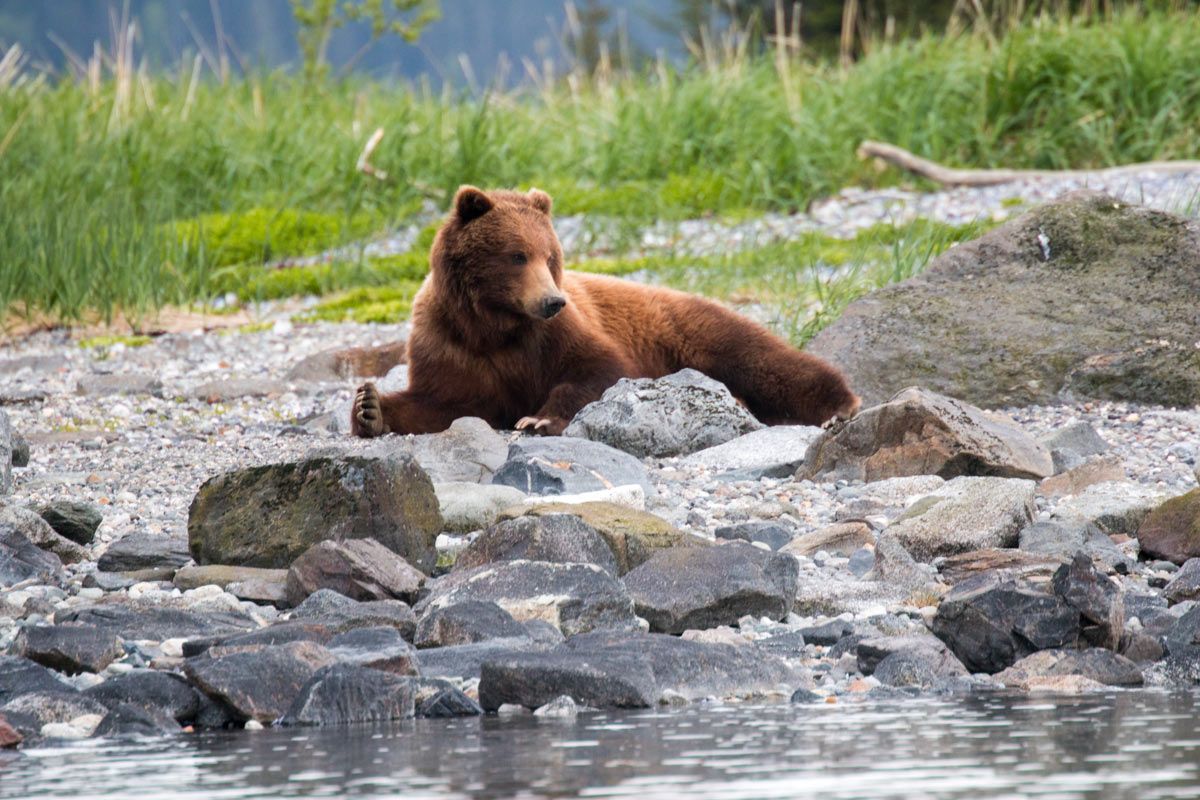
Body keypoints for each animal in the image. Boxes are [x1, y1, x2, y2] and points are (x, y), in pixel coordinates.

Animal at [351, 185, 860, 438]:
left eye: (550, 255)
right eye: (517, 255)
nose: (551, 301)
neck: (493, 325)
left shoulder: (555, 336)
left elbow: (599, 368)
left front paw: (538, 418)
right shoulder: (450, 345)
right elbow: (444, 402)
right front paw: (370, 407)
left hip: (689, 328)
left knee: (762, 359)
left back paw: (837, 407)